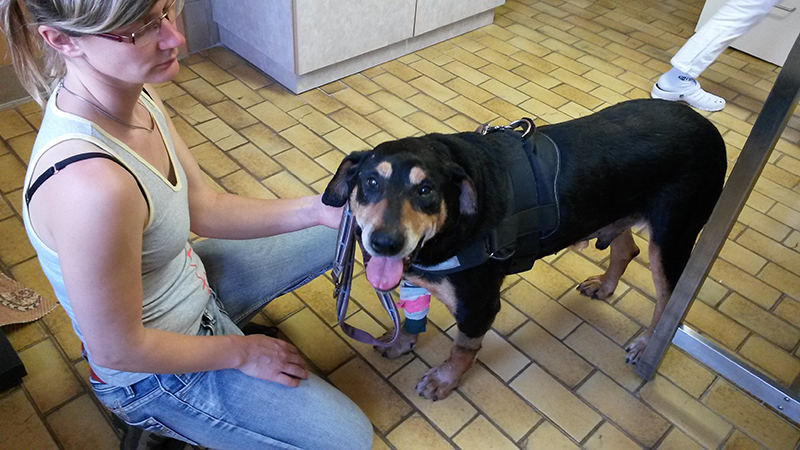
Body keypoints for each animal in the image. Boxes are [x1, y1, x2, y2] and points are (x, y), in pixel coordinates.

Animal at [322, 99, 728, 400]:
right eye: (371, 181)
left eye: (426, 191)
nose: (384, 243)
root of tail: (708, 127)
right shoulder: (413, 279)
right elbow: (410, 319)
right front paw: (402, 343)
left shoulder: (479, 306)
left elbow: (462, 348)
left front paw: (445, 380)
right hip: (613, 212)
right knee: (626, 250)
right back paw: (605, 285)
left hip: (672, 239)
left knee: (668, 300)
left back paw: (647, 345)